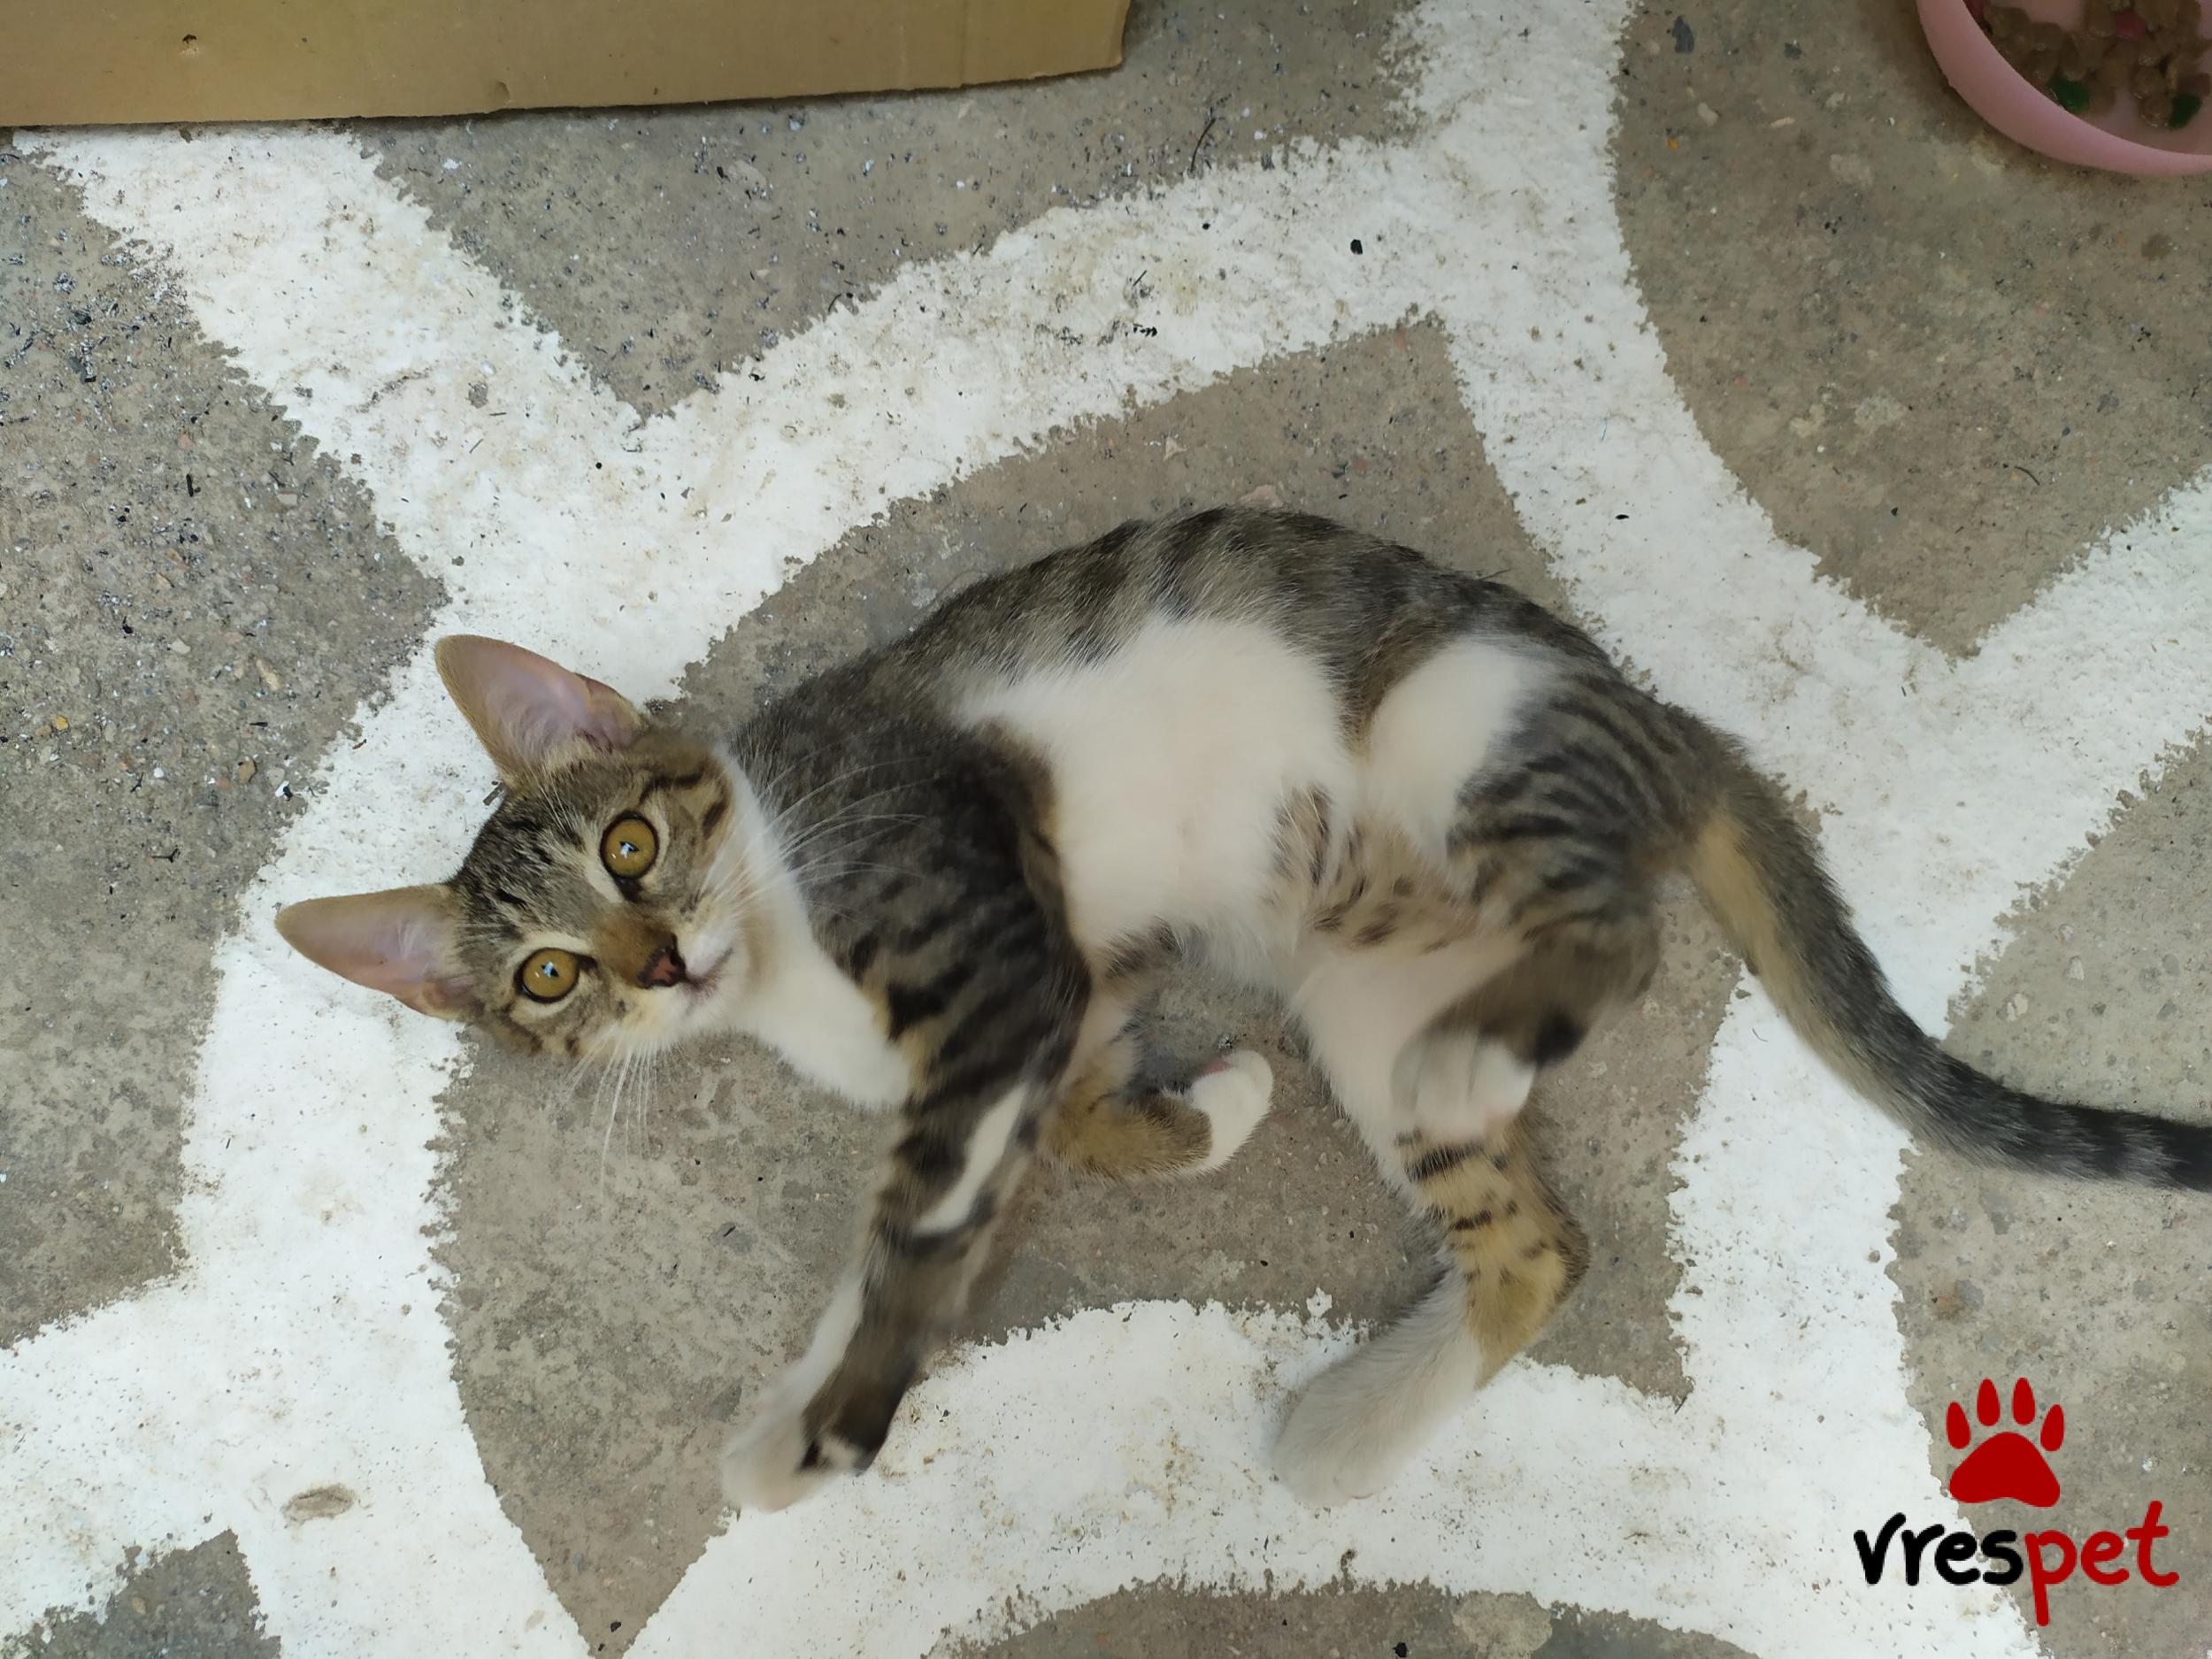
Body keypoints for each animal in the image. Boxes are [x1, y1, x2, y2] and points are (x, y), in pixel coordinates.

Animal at [276, 506, 2212, 1513]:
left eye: (627, 841)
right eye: (547, 977)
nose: (660, 965)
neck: (778, 923)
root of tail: (1657, 725)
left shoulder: (993, 958)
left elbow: (912, 1223)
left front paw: (844, 1412)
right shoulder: (1056, 1000)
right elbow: (1002, 1165)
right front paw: (1196, 1115)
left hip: (1458, 720)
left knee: (1609, 944)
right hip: (1365, 994)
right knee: (1536, 1245)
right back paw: (1360, 1422)